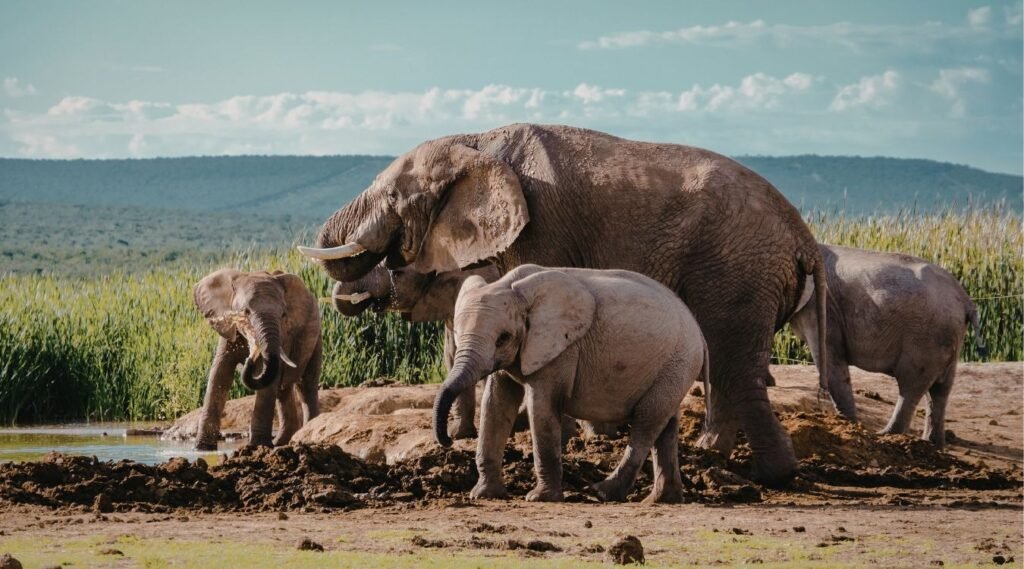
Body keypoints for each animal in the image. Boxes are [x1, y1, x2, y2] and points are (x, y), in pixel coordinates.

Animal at [192, 269, 322, 450]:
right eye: (245, 312)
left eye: (283, 314)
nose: (250, 359)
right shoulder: (228, 328)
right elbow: (220, 374)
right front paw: (201, 448)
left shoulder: (284, 334)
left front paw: (258, 445)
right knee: (284, 390)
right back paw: (281, 442)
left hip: (316, 336)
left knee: (307, 385)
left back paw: (306, 438)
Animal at [432, 265, 709, 503]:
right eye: (457, 335)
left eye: (503, 338)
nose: (448, 440)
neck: (512, 286)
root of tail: (700, 334)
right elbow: (496, 402)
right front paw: (483, 495)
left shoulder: (562, 350)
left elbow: (541, 406)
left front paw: (539, 498)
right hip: (673, 368)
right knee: (665, 426)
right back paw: (660, 500)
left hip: (677, 362)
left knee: (646, 422)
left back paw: (602, 493)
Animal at [789, 245, 985, 448]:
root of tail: (966, 300)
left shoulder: (822, 308)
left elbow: (828, 359)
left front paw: (847, 426)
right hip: (948, 337)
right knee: (940, 390)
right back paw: (932, 444)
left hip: (927, 337)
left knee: (911, 385)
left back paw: (886, 435)